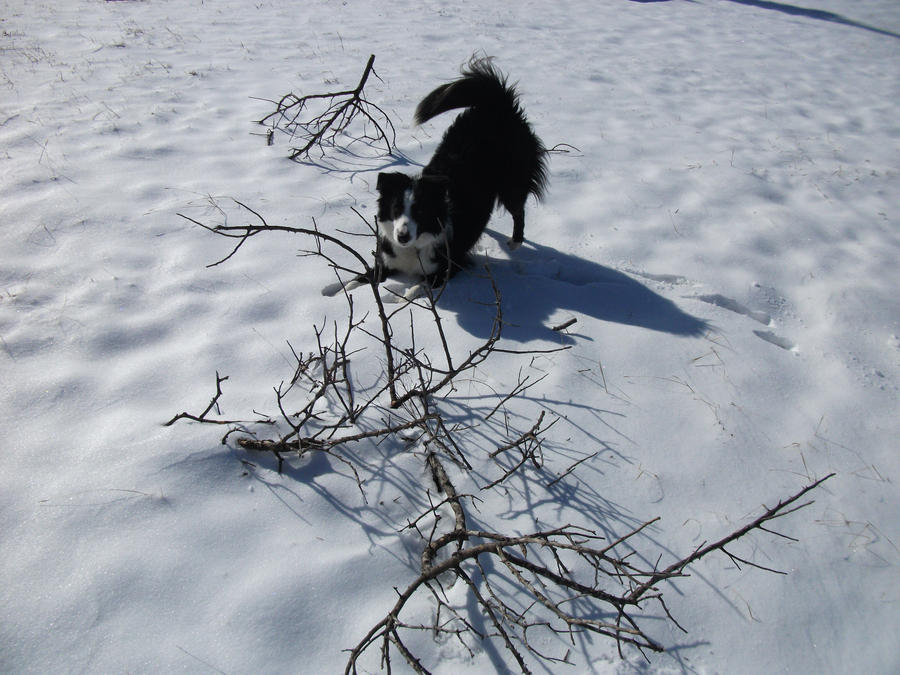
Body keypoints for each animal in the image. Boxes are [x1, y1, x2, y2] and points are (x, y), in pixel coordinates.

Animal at [324, 56, 548, 300]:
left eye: (421, 211)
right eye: (396, 209)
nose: (402, 236)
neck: (413, 247)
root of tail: (498, 103)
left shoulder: (448, 267)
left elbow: (416, 289)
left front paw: (399, 299)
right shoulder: (385, 261)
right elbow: (358, 279)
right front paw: (335, 294)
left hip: (512, 181)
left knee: (518, 210)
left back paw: (515, 241)